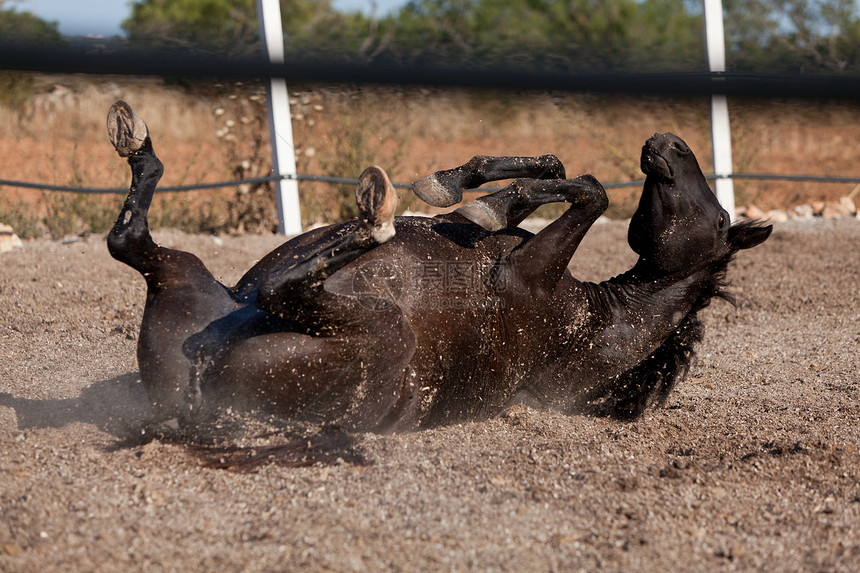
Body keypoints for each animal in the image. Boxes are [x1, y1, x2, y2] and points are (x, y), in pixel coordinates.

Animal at [104, 100, 768, 428]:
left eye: (717, 222)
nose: (670, 141)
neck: (594, 322)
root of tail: (192, 403)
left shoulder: (524, 276)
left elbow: (595, 192)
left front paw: (482, 203)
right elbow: (559, 171)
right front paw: (467, 187)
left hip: (379, 329)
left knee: (280, 290)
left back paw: (376, 213)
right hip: (185, 275)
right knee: (128, 241)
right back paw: (133, 137)